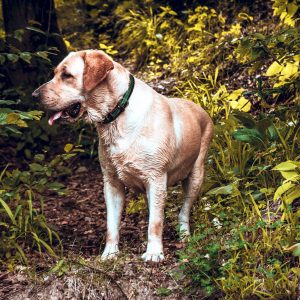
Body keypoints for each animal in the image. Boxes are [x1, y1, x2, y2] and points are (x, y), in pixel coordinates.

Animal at [32, 49, 213, 262]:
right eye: (54, 73)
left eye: (67, 75)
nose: (34, 95)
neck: (117, 113)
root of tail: (199, 107)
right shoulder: (112, 183)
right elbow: (112, 225)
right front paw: (110, 253)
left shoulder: (156, 179)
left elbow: (155, 223)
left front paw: (154, 252)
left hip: (195, 176)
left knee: (183, 211)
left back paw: (184, 235)